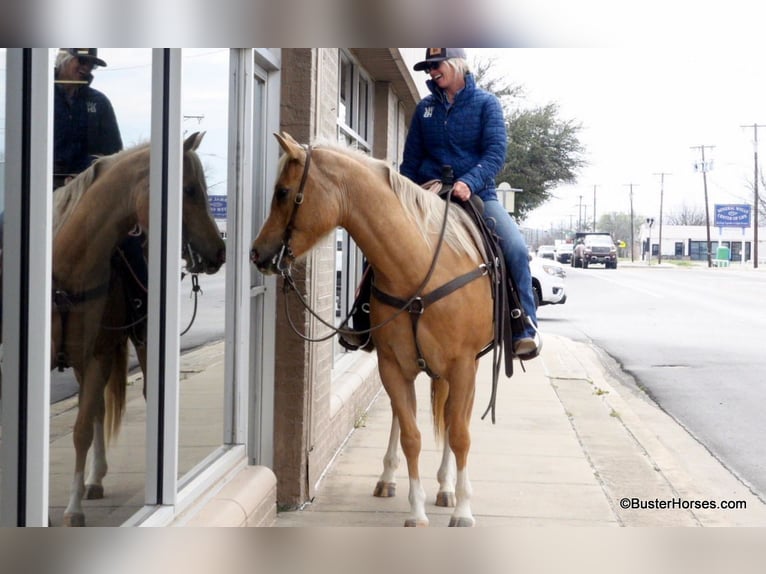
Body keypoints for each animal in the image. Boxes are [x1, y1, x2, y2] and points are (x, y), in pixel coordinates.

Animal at [3, 132, 225, 528]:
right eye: (187, 189)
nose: (219, 251)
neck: (65, 269)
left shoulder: (94, 357)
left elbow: (81, 429)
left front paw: (72, 508)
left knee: (106, 409)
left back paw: (94, 479)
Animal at [250, 133, 492, 528]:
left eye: (283, 192)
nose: (257, 253)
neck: (419, 270)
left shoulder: (463, 366)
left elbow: (459, 434)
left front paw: (463, 509)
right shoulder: (392, 365)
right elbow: (411, 435)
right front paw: (416, 511)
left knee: (454, 420)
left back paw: (448, 487)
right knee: (403, 415)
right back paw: (391, 478)